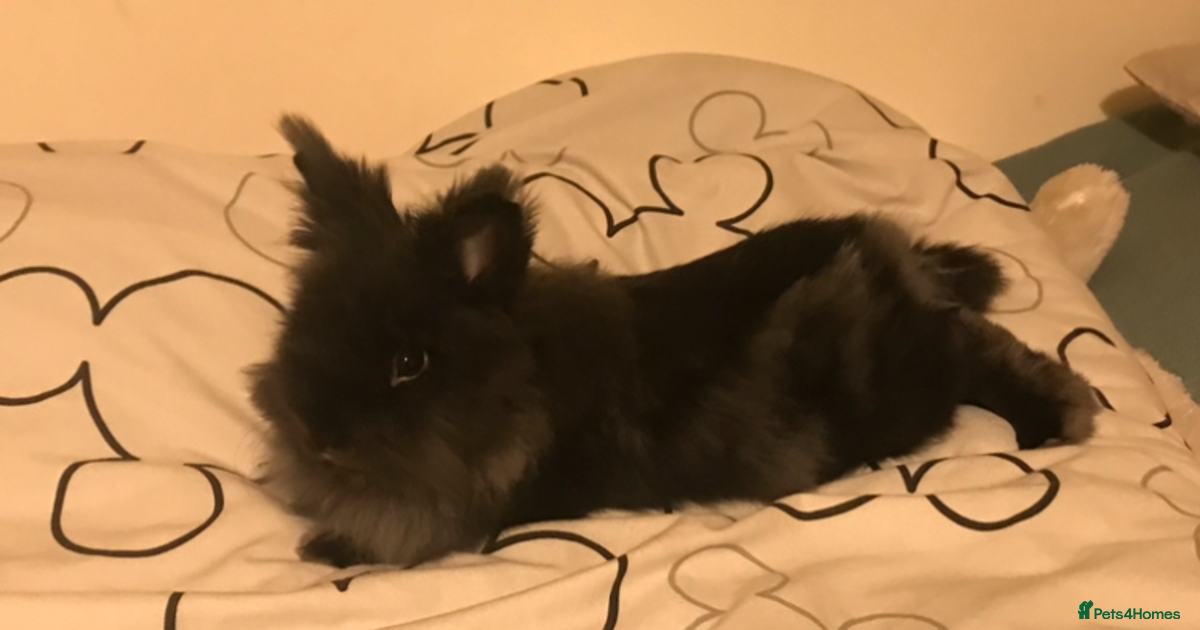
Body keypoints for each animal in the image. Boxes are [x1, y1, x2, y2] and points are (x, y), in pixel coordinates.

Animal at [247, 114, 1100, 569]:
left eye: (409, 363)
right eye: (302, 333)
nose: (318, 434)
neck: (519, 382)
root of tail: (893, 253)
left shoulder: (464, 514)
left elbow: (399, 536)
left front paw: (323, 550)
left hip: (907, 385)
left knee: (980, 354)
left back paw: (1057, 417)